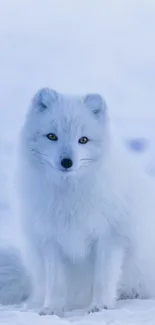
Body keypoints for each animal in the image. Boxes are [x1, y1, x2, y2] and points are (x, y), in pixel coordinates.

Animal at [13, 88, 155, 314]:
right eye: (51, 136)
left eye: (83, 140)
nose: (66, 162)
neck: (69, 196)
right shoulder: (51, 239)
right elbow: (56, 283)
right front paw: (52, 309)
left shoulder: (110, 237)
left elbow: (103, 279)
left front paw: (101, 306)